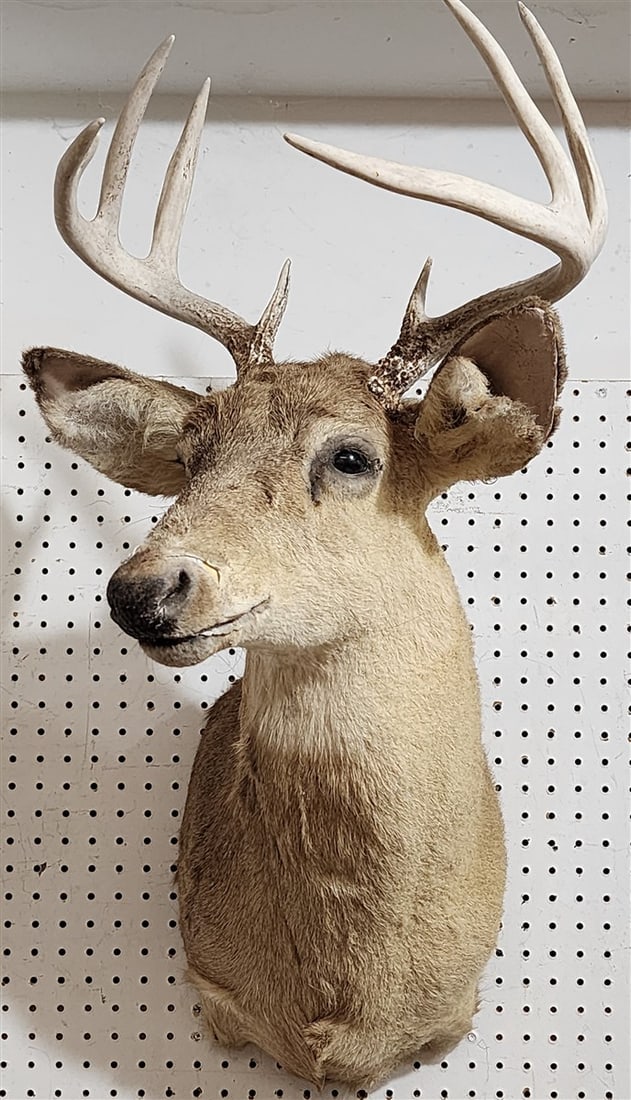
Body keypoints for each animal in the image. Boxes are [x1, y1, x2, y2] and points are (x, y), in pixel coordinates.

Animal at [22, 0, 606, 1089]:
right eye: (190, 454)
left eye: (349, 455)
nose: (143, 588)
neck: (347, 999)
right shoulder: (215, 999)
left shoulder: (451, 1019)